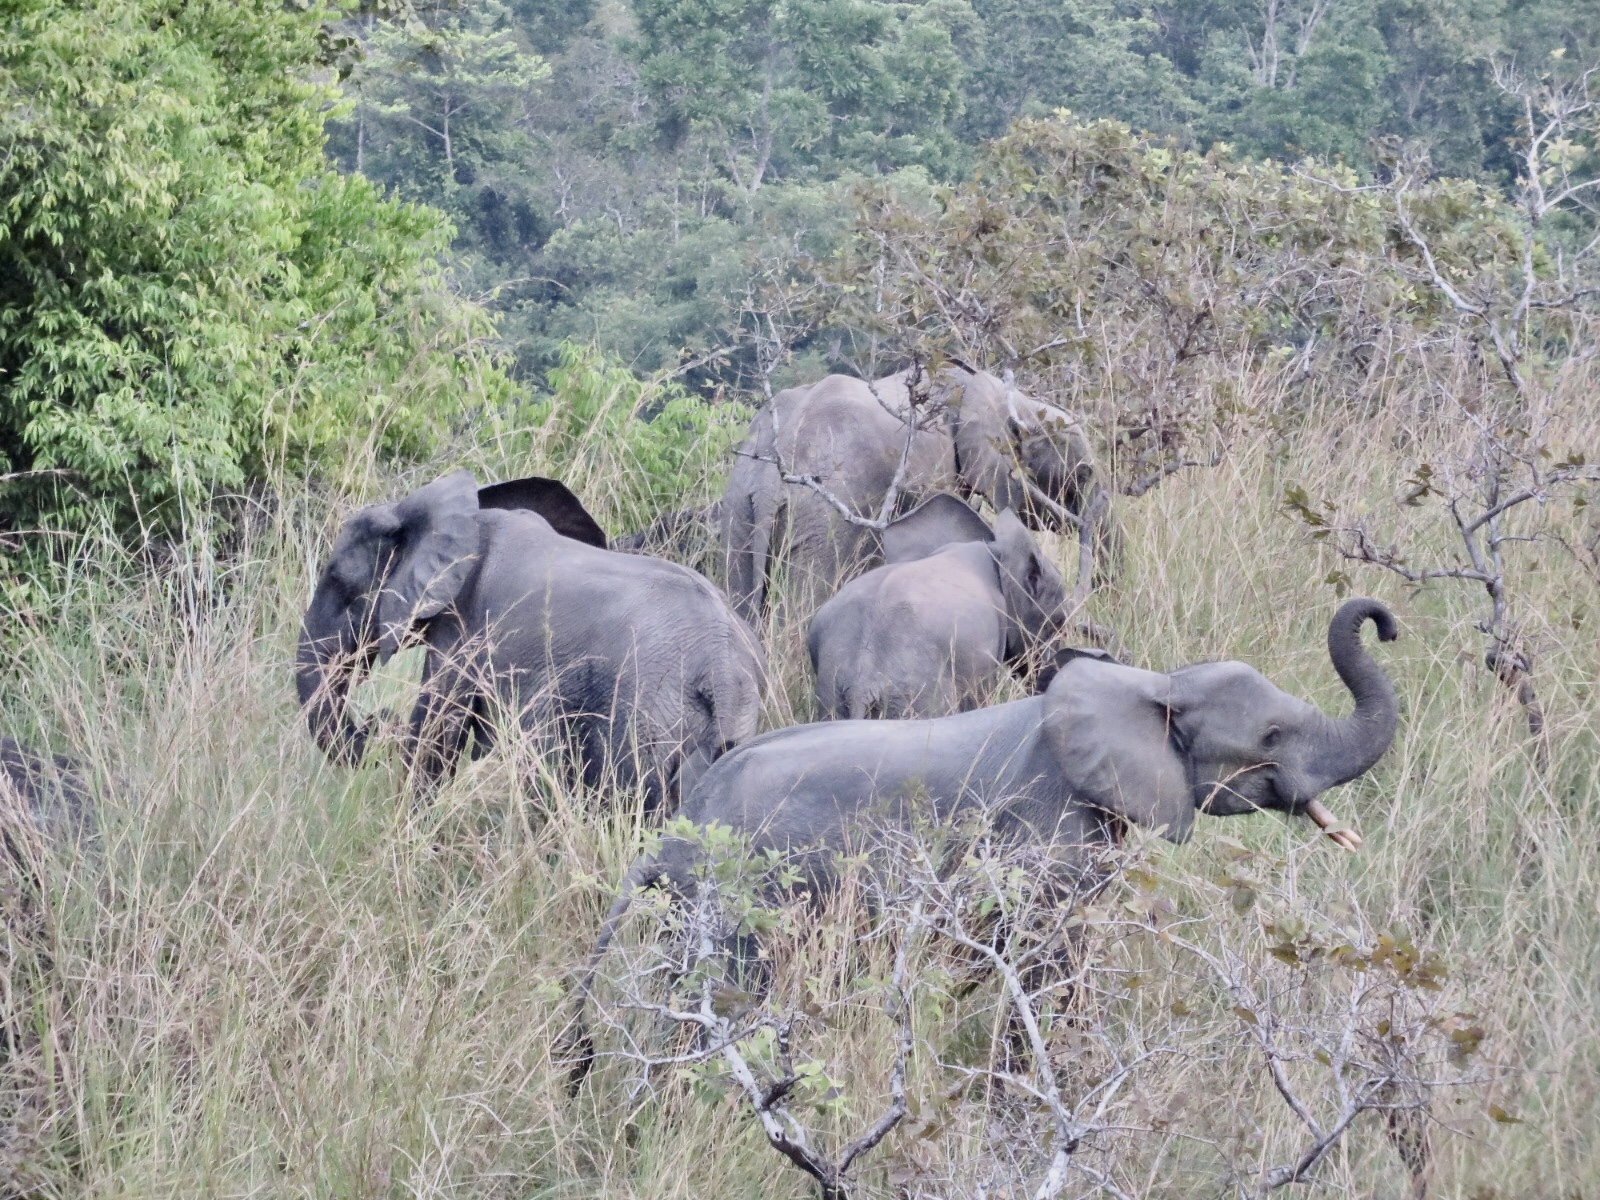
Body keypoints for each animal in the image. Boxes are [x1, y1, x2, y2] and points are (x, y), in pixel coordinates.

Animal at [296, 473, 768, 819]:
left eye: (337, 582)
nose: (376, 722)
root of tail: (721, 665)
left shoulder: (464, 628)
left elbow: (436, 734)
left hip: (645, 715)